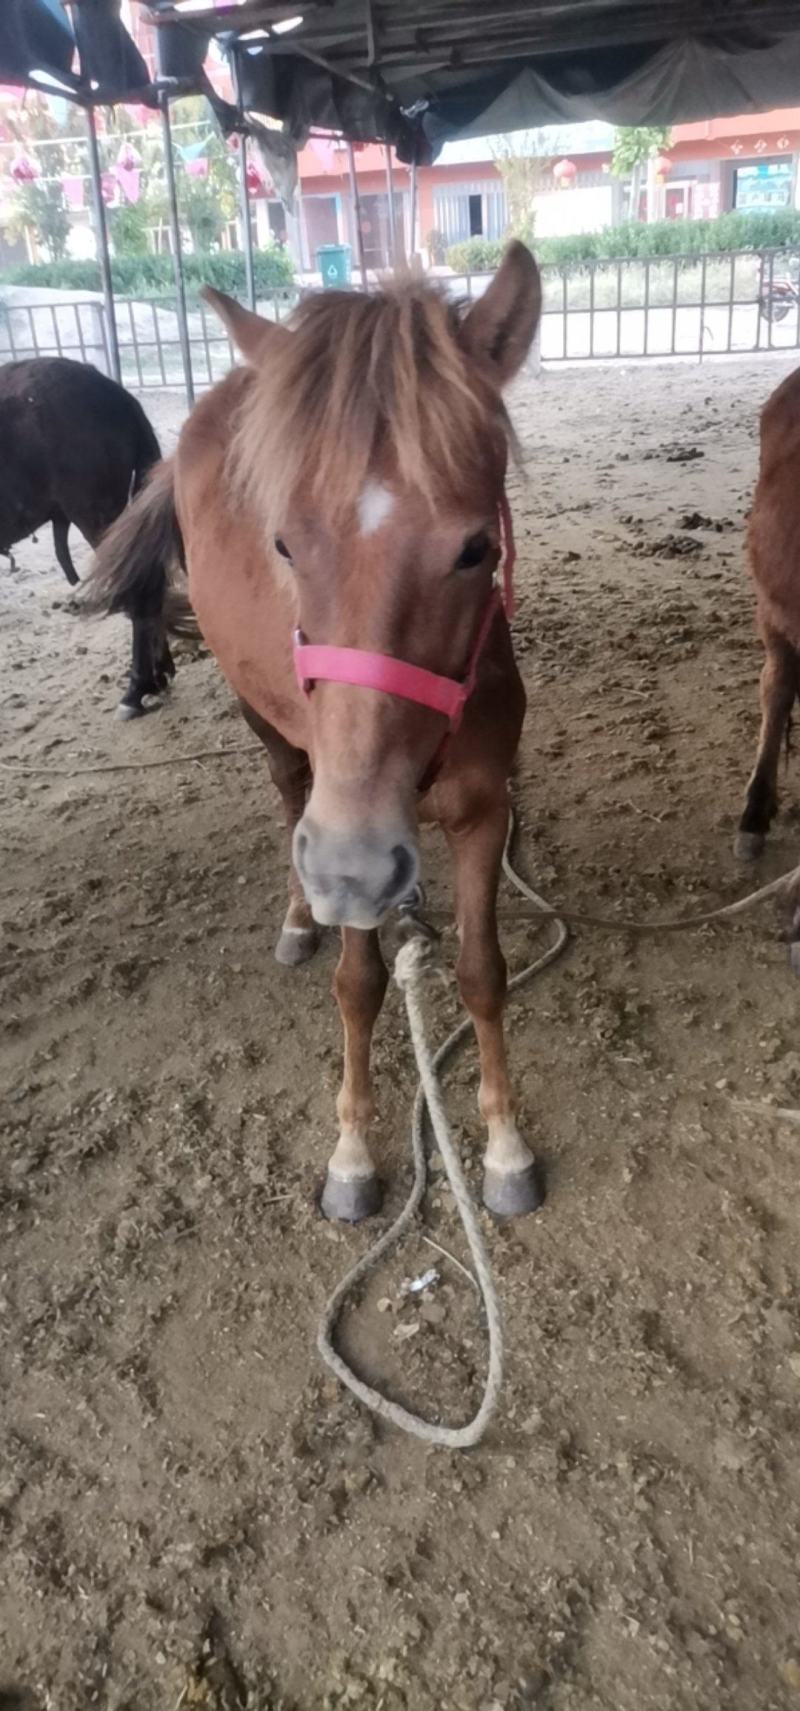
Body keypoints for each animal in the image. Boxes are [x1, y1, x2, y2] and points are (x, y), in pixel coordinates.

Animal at [88, 242, 544, 1221]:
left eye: (477, 548)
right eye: (285, 545)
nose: (355, 866)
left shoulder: (484, 807)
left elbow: (483, 972)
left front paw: (504, 1144)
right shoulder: (340, 832)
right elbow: (359, 983)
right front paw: (353, 1153)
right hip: (267, 727)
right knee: (287, 792)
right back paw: (299, 918)